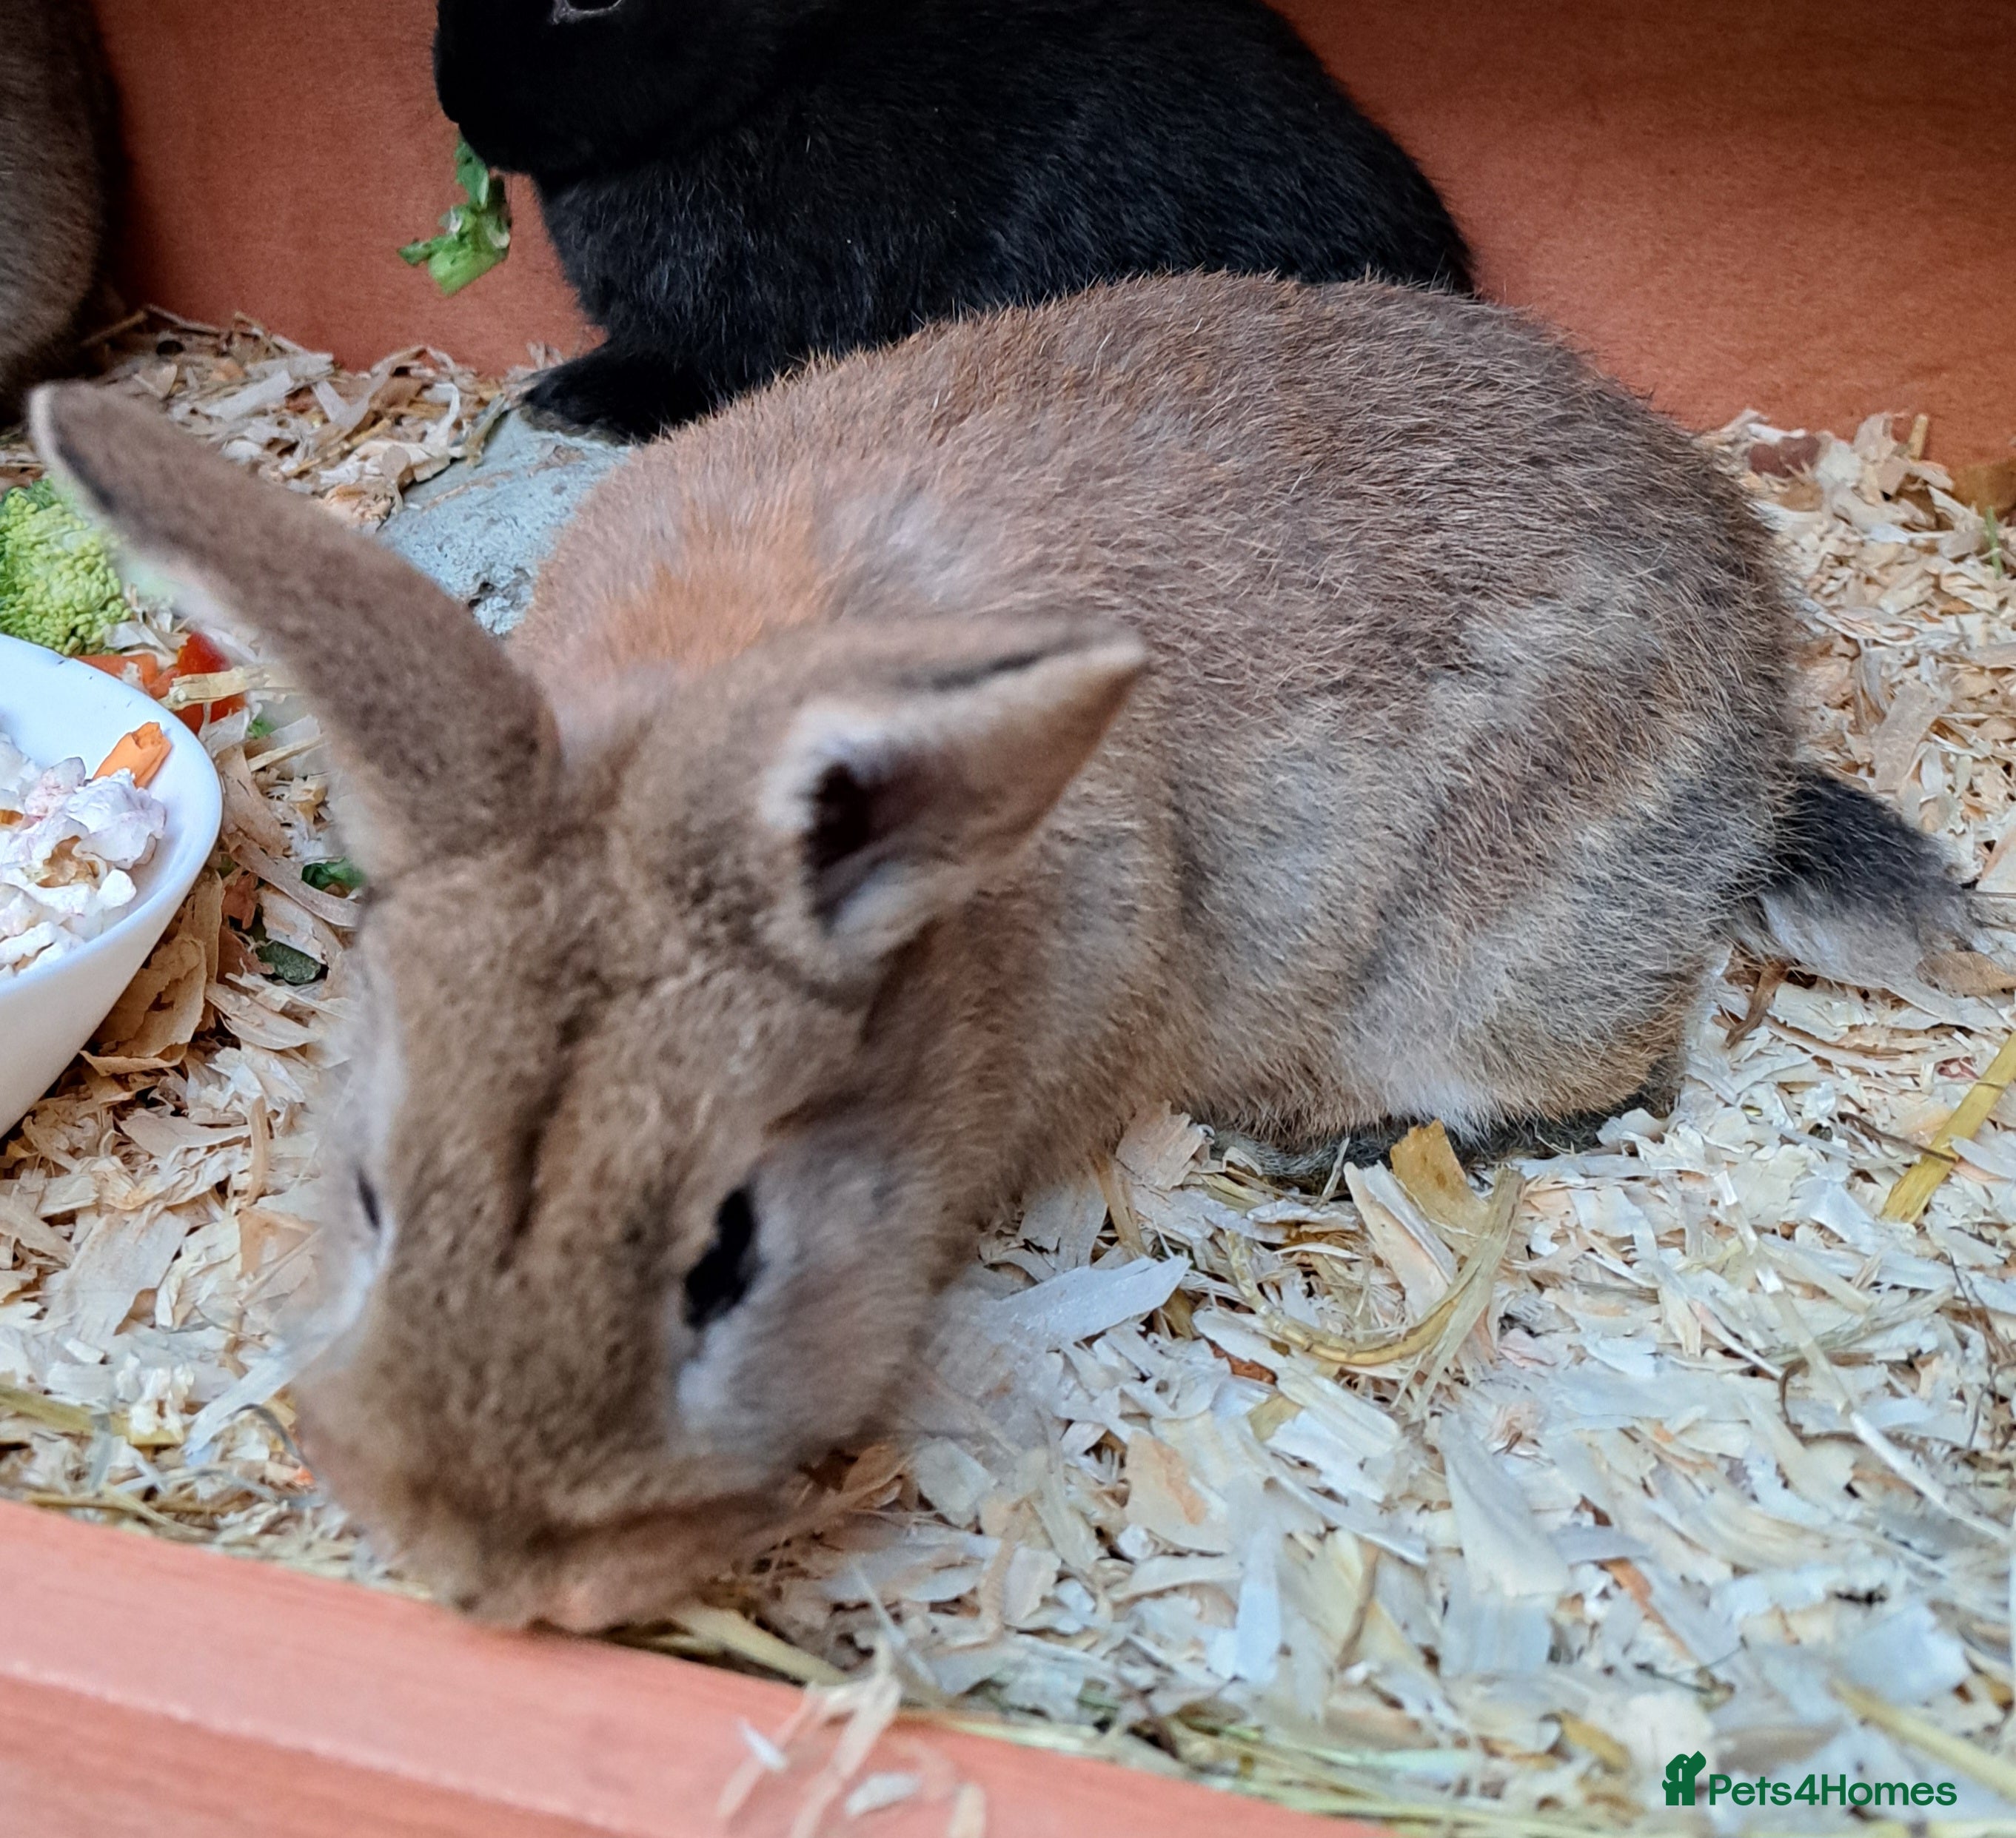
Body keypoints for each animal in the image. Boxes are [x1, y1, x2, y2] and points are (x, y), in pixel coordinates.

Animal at [31, 272, 1979, 1633]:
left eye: (730, 1256)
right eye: (368, 1197)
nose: (494, 1576)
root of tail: (1759, 727)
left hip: (1505, 963)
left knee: (1620, 1078)